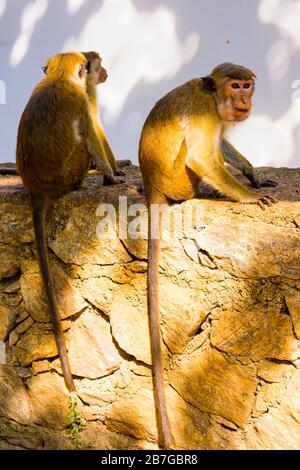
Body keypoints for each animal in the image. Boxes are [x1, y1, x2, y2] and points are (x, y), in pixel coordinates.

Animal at [139, 62, 278, 448]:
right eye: (236, 86)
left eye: (246, 85)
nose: (245, 98)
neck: (213, 96)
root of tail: (152, 186)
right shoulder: (206, 114)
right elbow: (202, 155)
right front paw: (247, 195)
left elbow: (223, 143)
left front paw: (250, 174)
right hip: (180, 181)